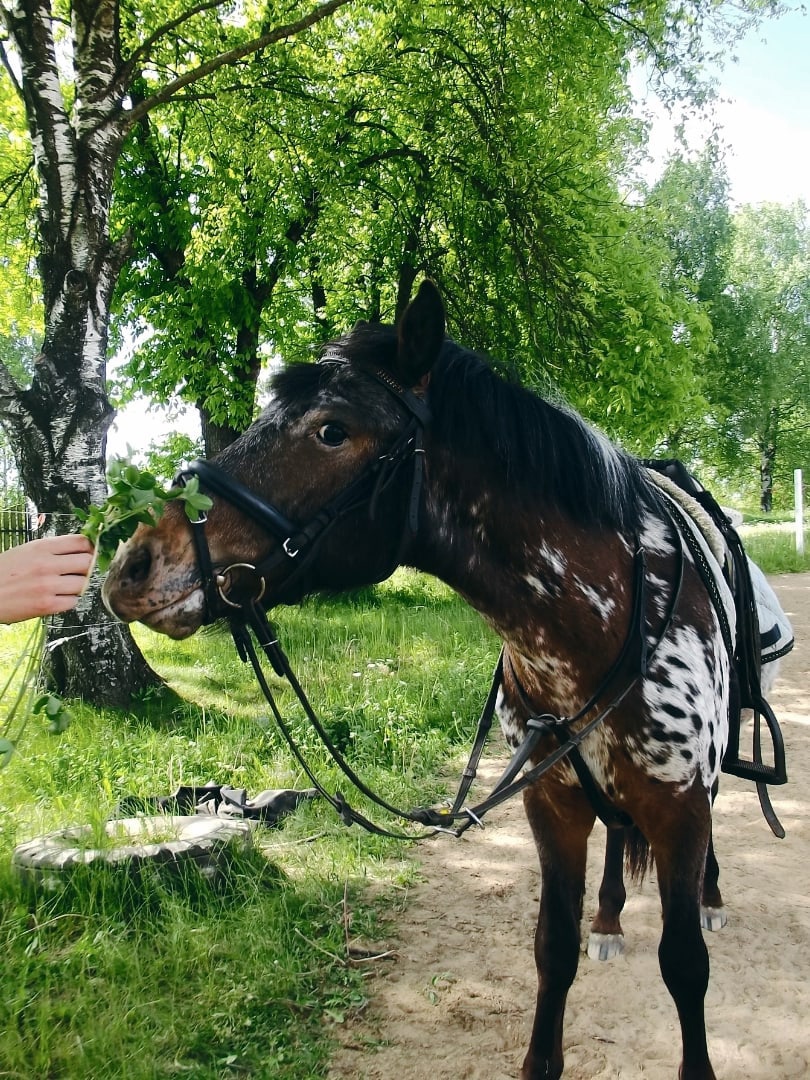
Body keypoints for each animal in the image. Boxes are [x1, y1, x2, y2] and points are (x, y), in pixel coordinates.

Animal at [104, 279, 745, 1079]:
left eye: (332, 430)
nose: (132, 567)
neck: (604, 621)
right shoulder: (552, 806)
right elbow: (553, 947)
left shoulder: (680, 807)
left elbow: (685, 965)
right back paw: (608, 917)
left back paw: (713, 897)